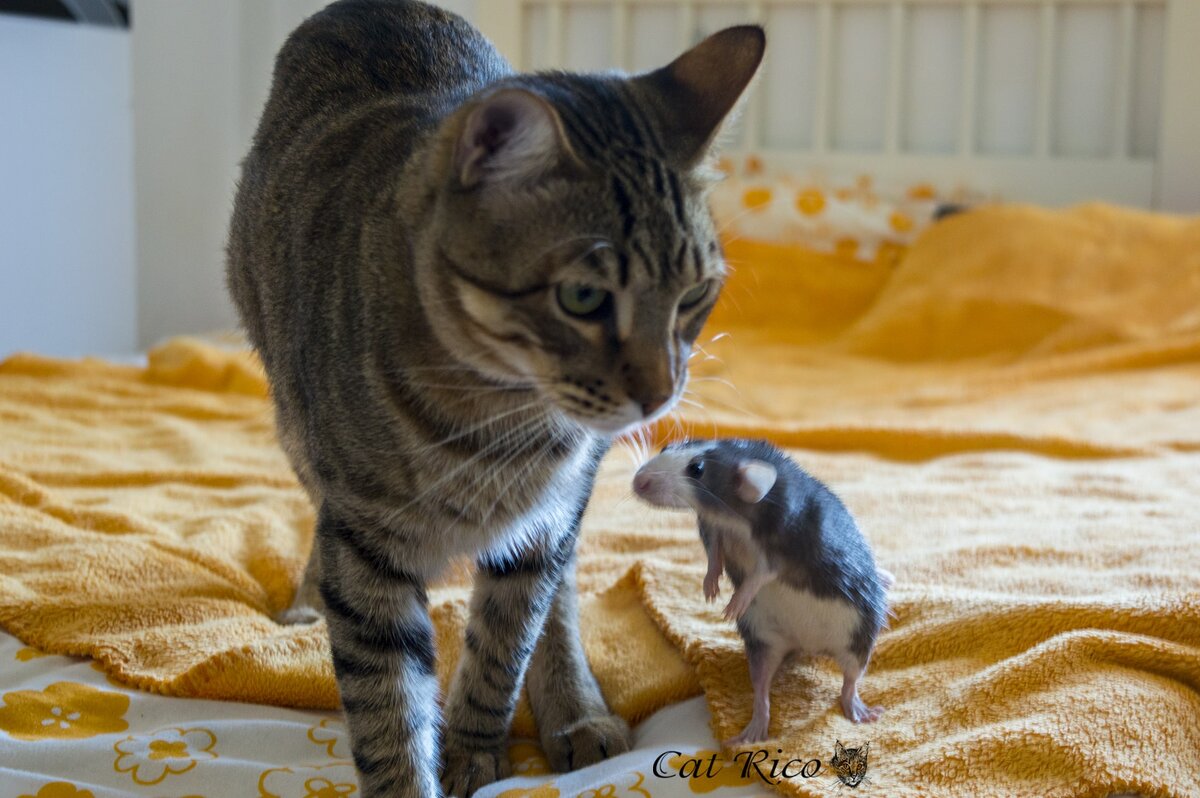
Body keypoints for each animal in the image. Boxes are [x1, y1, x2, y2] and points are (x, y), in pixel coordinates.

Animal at [226, 3, 758, 792]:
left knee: (557, 595)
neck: (499, 414)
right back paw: (305, 600)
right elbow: (385, 702)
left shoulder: (543, 520)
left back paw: (575, 710)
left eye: (695, 294)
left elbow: (505, 642)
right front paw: (409, 775)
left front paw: (476, 749)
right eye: (582, 297)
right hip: (293, 419)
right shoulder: (365, 539)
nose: (662, 395)